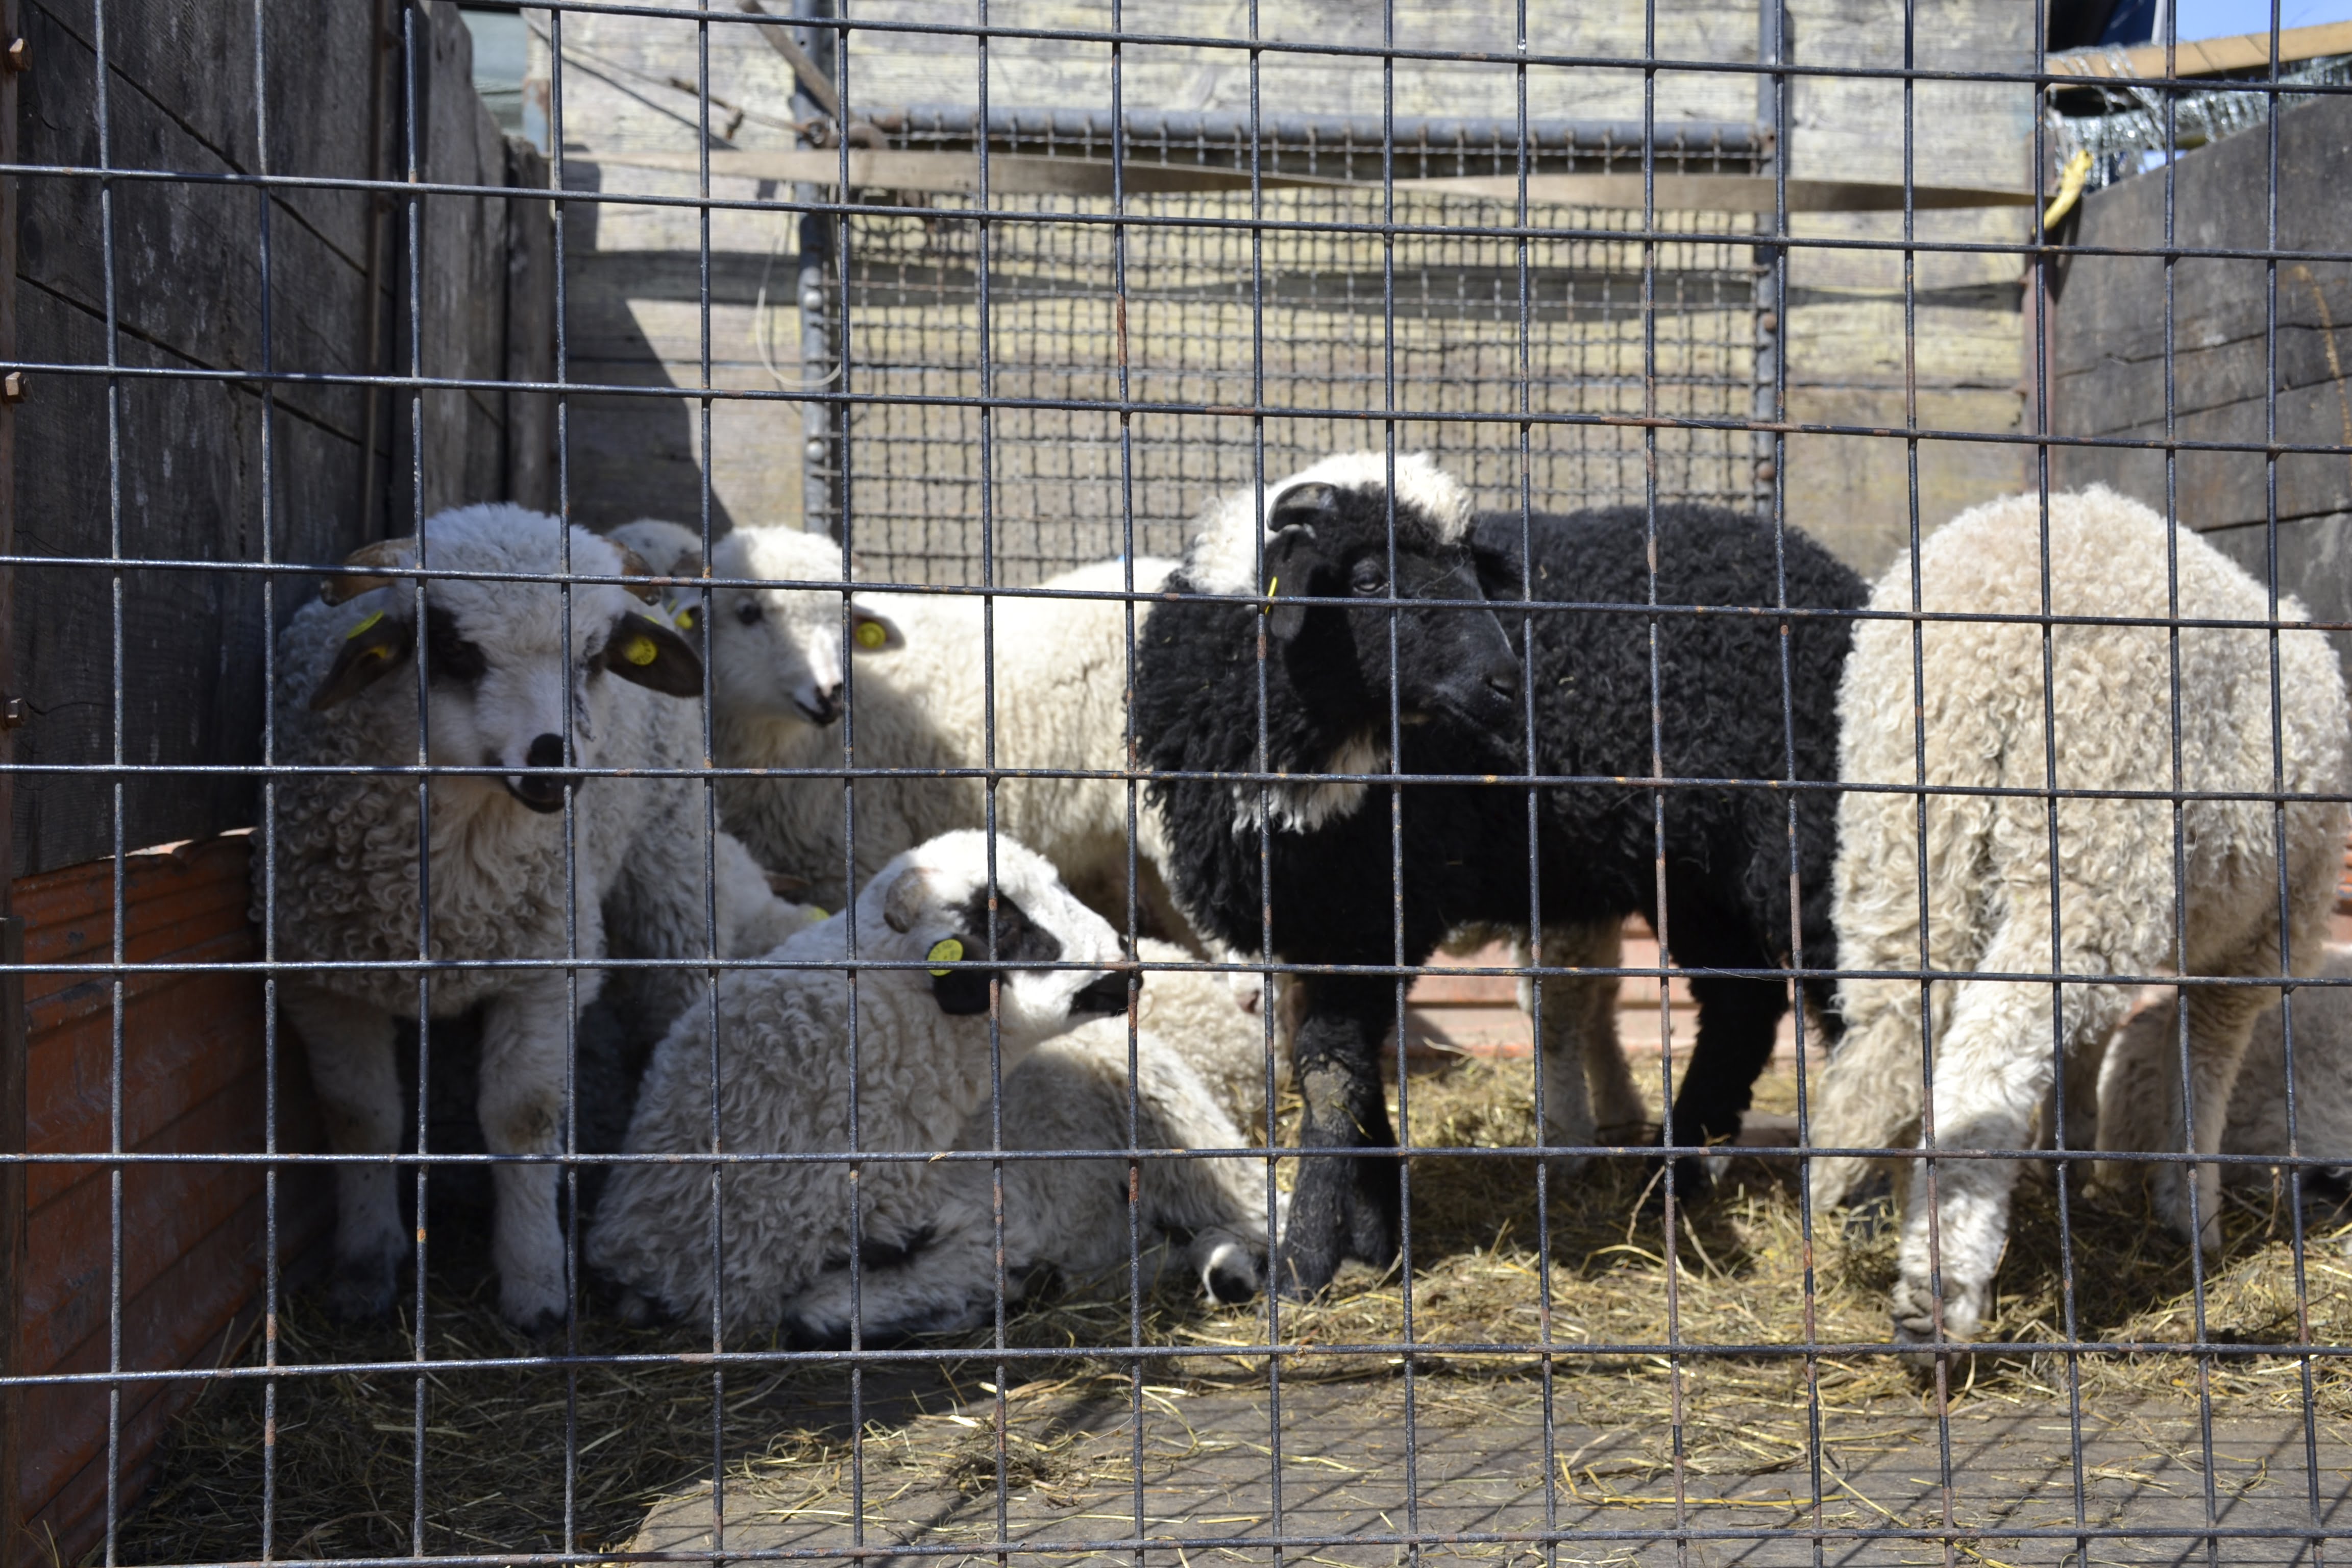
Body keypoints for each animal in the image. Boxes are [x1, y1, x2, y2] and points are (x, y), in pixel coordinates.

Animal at [263, 504, 809, 1329]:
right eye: (456, 649)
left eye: (593, 656)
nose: (555, 762)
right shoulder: (322, 977)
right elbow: (361, 1119)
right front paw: (364, 1269)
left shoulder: (547, 970)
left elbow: (523, 1119)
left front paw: (536, 1287)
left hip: (673, 856)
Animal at [1133, 450, 1864, 1296]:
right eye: (1368, 578)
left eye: (1469, 573)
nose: (1507, 684)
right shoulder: (1323, 915)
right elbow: (1353, 1070)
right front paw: (1377, 1239)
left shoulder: (1382, 908)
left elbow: (1332, 1075)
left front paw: (1305, 1260)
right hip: (1694, 870)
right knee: (1742, 1002)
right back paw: (1669, 1177)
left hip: (1804, 838)